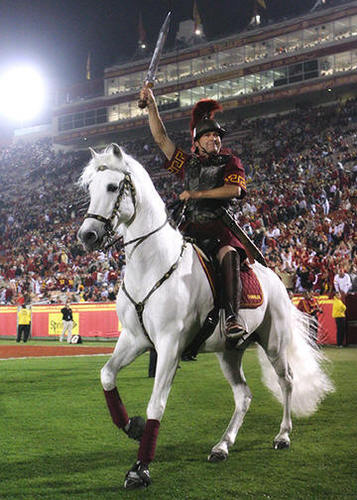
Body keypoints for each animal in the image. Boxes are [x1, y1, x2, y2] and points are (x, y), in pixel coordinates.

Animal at [77, 144, 334, 488]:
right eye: (90, 188)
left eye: (112, 187)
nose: (87, 236)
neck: (153, 265)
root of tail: (277, 279)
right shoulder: (134, 340)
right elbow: (107, 375)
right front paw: (133, 426)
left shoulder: (170, 346)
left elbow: (156, 403)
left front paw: (140, 468)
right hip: (229, 353)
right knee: (243, 395)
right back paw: (222, 445)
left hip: (275, 343)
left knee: (287, 382)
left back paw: (283, 435)